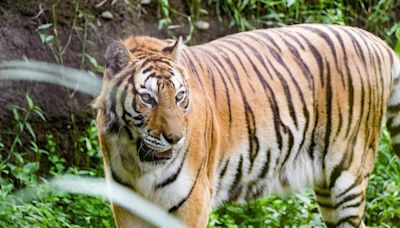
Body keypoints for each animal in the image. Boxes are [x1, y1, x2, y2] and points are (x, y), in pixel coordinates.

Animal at [94, 24, 400, 227]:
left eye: (179, 96)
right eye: (147, 98)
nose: (175, 138)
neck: (138, 161)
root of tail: (377, 41)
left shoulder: (191, 204)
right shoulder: (127, 206)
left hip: (347, 177)